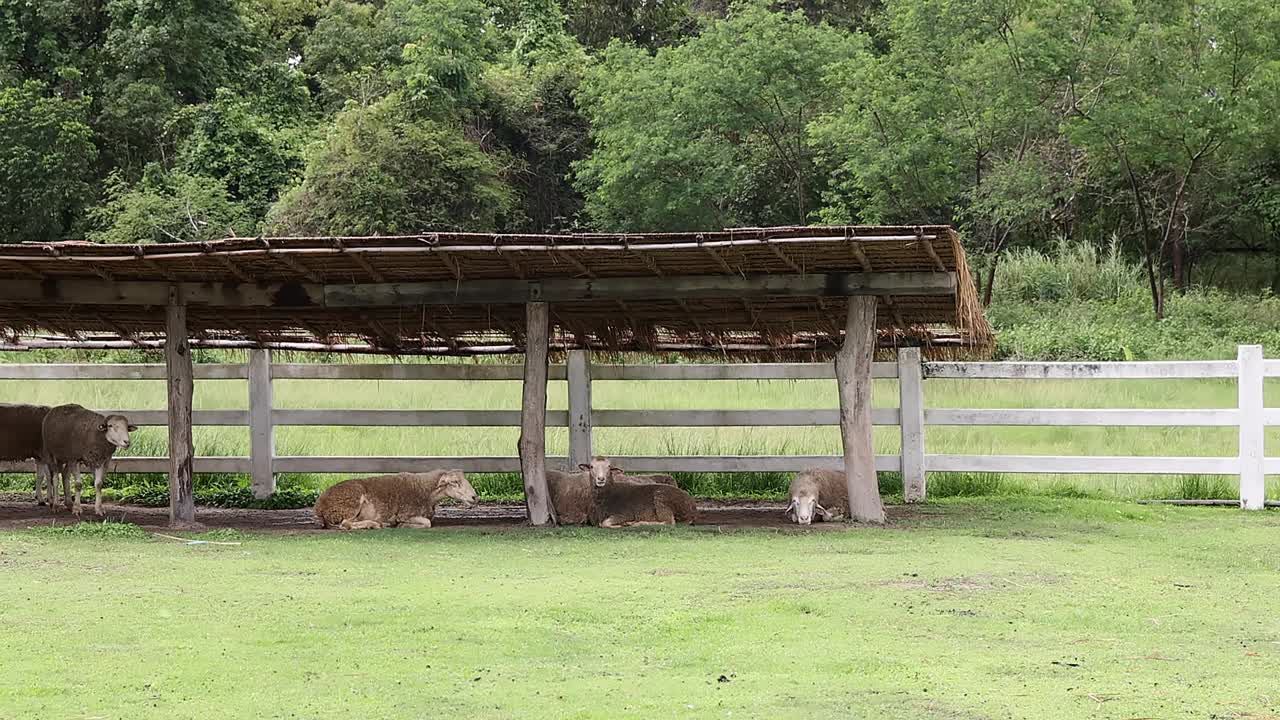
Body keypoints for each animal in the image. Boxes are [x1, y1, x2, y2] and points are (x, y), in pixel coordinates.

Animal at [313, 468, 481, 530]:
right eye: (454, 482)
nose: (475, 497)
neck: (425, 491)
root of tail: (319, 507)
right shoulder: (405, 514)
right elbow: (427, 523)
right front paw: (401, 525)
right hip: (350, 504)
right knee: (345, 524)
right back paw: (375, 524)